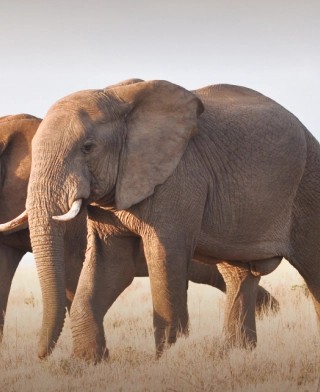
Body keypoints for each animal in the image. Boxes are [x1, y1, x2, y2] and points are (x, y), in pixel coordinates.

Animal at [8, 76, 310, 362]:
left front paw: (167, 360)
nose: (41, 355)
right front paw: (88, 363)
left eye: (87, 148)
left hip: (308, 179)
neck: (116, 97)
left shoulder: (179, 179)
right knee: (238, 274)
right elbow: (112, 264)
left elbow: (165, 259)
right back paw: (237, 354)